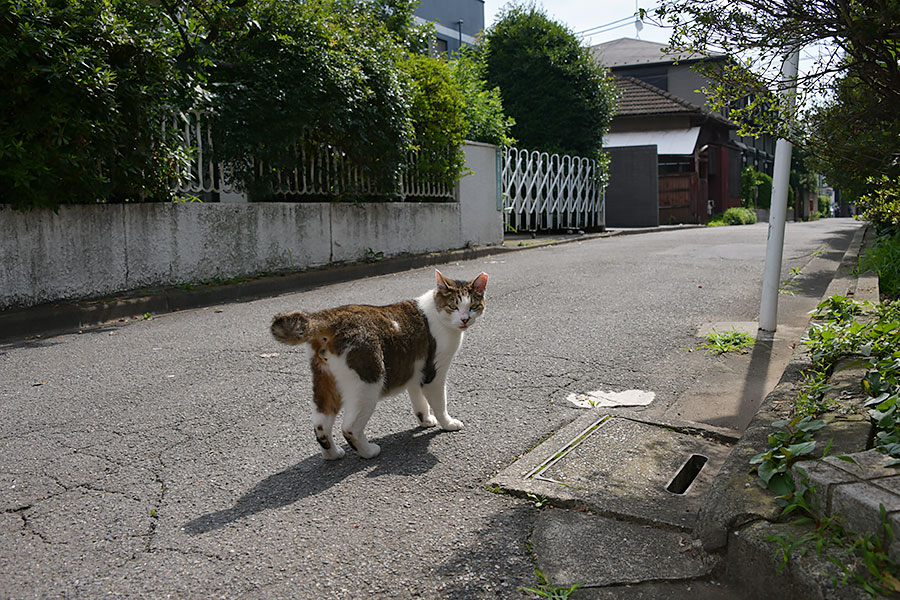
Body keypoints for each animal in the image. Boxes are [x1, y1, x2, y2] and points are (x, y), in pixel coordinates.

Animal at [270, 270, 488, 462]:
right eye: (453, 306)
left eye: (473, 306)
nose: (465, 318)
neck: (437, 313)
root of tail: (329, 315)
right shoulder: (434, 373)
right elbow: (440, 403)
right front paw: (448, 423)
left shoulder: (415, 371)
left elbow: (419, 402)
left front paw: (425, 420)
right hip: (368, 383)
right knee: (349, 427)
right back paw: (368, 452)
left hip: (325, 381)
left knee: (320, 424)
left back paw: (333, 454)